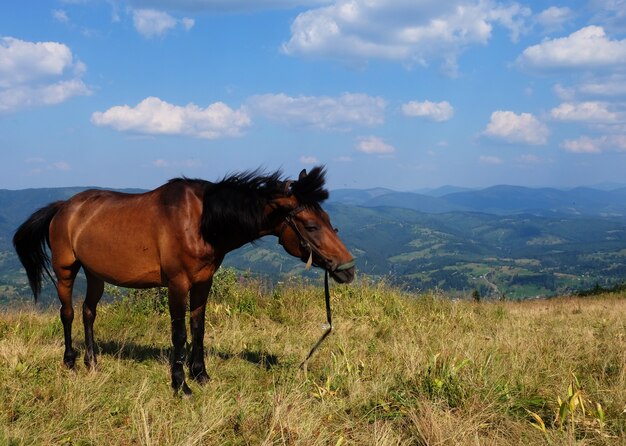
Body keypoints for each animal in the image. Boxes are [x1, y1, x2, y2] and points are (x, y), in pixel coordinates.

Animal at [13, 166, 352, 394]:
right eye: (311, 226)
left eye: (327, 220)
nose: (347, 268)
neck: (201, 222)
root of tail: (64, 207)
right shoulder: (177, 285)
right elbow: (179, 333)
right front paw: (180, 384)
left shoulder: (203, 283)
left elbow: (197, 328)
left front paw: (201, 375)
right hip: (66, 270)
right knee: (68, 313)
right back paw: (70, 362)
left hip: (96, 274)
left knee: (88, 313)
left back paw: (92, 362)